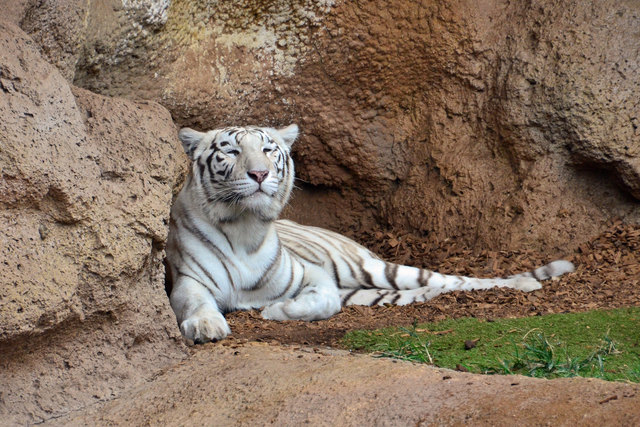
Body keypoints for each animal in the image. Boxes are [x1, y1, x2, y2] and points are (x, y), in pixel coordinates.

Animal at [165, 124, 575, 343]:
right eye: (232, 152)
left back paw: (526, 283)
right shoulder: (187, 280)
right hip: (371, 288)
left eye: (268, 149)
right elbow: (197, 302)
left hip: (375, 268)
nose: (260, 174)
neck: (245, 227)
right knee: (411, 292)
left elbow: (321, 301)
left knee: (458, 279)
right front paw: (206, 325)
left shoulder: (313, 275)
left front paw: (276, 311)